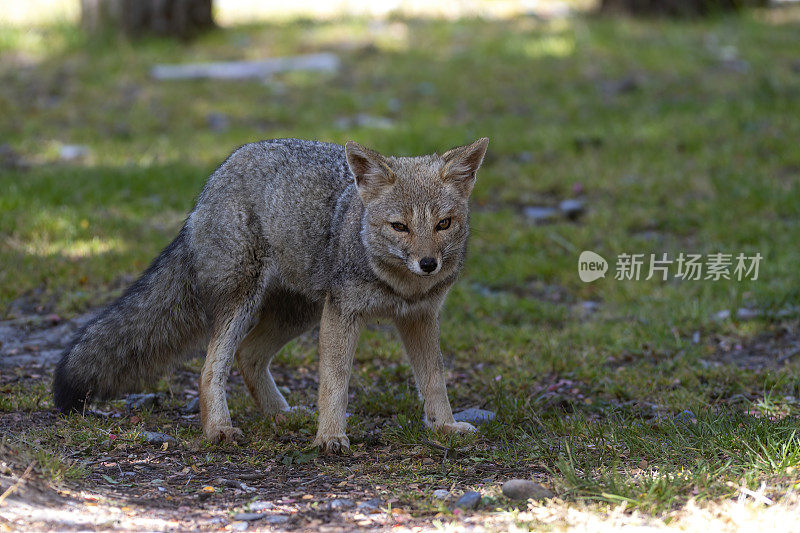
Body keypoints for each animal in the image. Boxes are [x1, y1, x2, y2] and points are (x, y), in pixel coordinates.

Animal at [53, 137, 488, 448]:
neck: (399, 284)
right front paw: (330, 437)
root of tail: (218, 175)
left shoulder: (419, 317)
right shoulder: (343, 314)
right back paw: (219, 430)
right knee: (211, 368)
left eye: (444, 224)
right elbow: (334, 383)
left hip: (299, 314)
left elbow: (434, 379)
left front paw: (445, 427)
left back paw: (284, 415)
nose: (428, 264)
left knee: (248, 356)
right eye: (400, 227)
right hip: (246, 304)